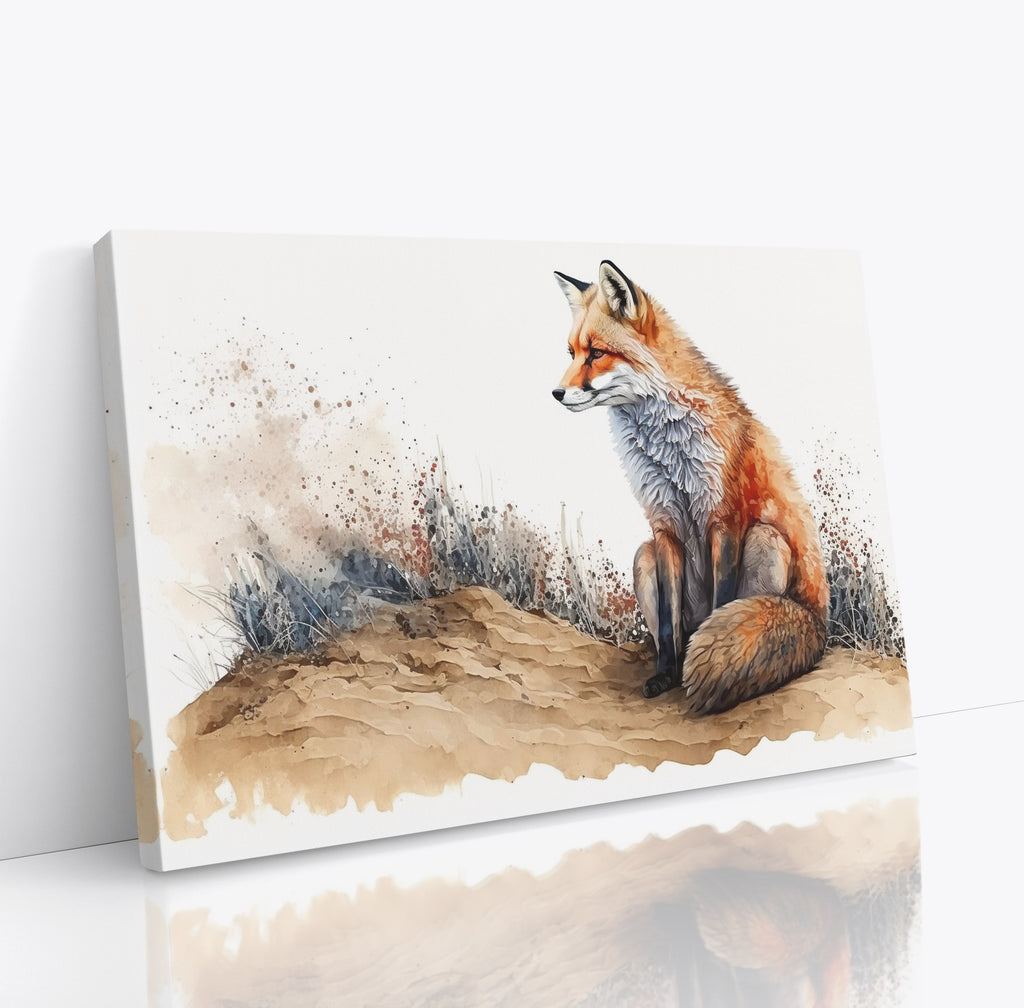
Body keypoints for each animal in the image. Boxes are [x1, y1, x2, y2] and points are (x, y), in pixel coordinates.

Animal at [552, 260, 829, 715]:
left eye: (596, 353)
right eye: (571, 353)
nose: (557, 393)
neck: (668, 454)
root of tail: (820, 623)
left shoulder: (725, 520)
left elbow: (722, 601)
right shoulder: (663, 526)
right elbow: (667, 623)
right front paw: (665, 674)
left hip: (765, 540)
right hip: (643, 555)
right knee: (679, 629)